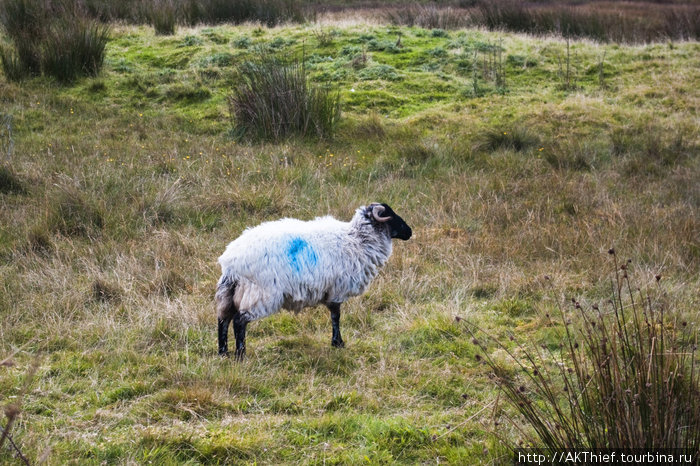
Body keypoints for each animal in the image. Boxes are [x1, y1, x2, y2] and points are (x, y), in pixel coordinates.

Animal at [213, 202, 410, 358]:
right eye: (390, 216)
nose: (409, 231)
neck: (357, 240)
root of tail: (230, 261)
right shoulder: (336, 289)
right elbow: (336, 316)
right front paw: (338, 343)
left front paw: (337, 342)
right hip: (260, 293)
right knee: (239, 321)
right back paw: (240, 354)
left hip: (229, 293)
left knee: (223, 319)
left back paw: (223, 353)